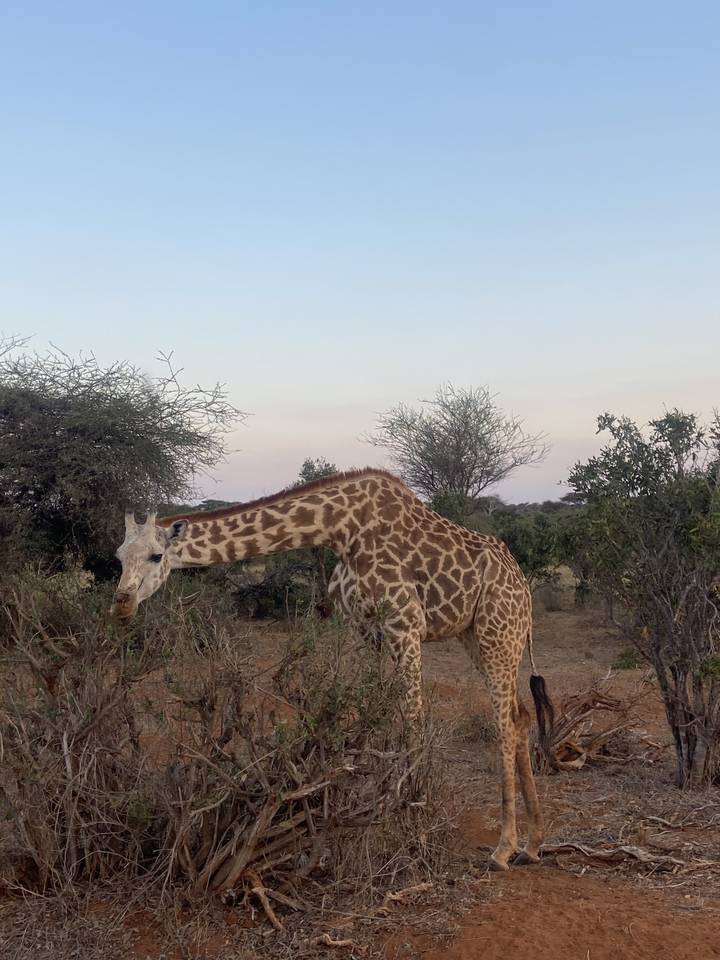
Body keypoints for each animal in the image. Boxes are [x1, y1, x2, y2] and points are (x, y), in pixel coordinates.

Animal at [111, 468, 554, 870]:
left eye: (155, 555)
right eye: (118, 556)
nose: (121, 604)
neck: (341, 530)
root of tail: (523, 587)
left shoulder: (405, 624)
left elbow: (412, 721)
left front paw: (417, 827)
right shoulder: (365, 629)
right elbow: (373, 716)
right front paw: (371, 822)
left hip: (498, 633)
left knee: (503, 722)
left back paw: (504, 848)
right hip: (477, 636)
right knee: (519, 716)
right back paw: (533, 844)